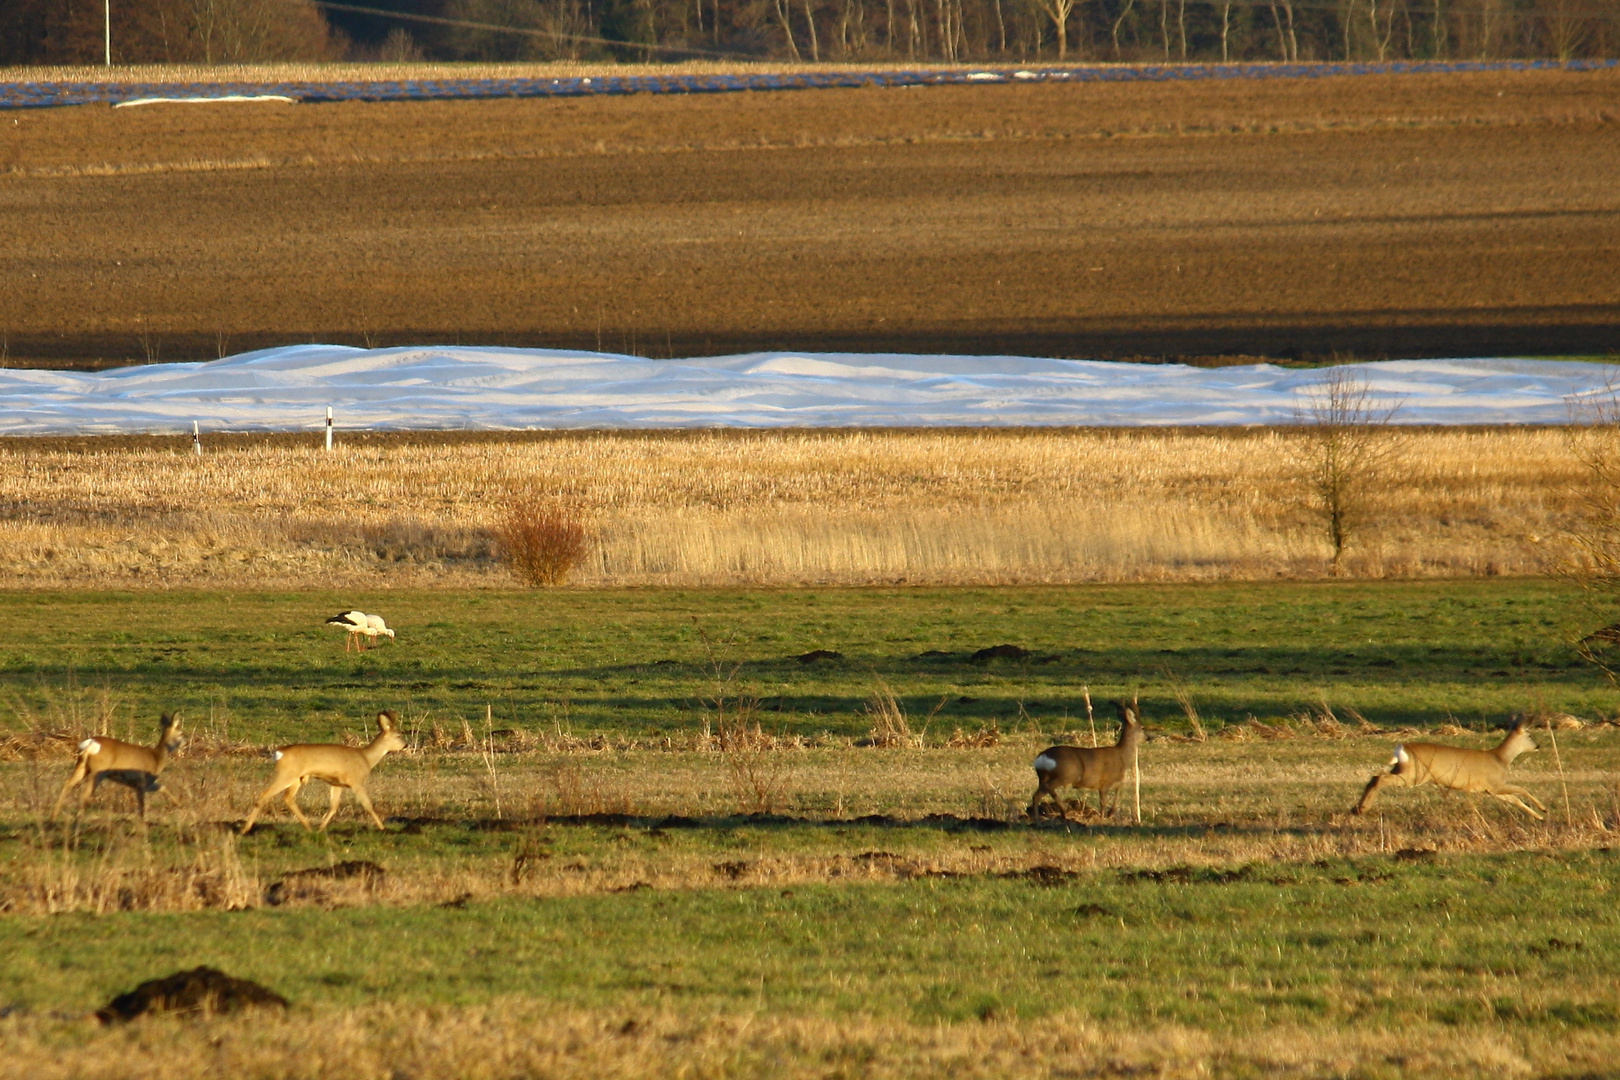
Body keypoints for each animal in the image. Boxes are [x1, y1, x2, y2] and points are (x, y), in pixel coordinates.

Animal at [52, 712, 183, 822]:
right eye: (181, 733)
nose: (185, 742)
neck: (156, 757)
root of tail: (90, 745)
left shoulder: (144, 783)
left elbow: (162, 787)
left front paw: (178, 804)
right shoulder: (141, 782)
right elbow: (142, 805)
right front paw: (142, 823)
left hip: (82, 766)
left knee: (68, 784)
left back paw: (54, 816)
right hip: (98, 771)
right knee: (84, 793)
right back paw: (77, 821)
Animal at [239, 709, 408, 835]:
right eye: (399, 735)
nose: (406, 745)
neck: (366, 758)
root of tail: (279, 752)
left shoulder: (336, 783)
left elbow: (333, 806)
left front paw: (321, 828)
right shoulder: (356, 781)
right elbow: (368, 805)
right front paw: (382, 828)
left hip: (296, 778)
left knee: (288, 798)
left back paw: (308, 827)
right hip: (286, 774)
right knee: (264, 795)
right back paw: (245, 830)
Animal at [1347, 718, 1548, 819]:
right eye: (1530, 735)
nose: (1538, 745)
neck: (1500, 758)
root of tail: (1402, 748)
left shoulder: (1490, 789)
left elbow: (1515, 799)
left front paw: (1539, 817)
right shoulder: (1495, 783)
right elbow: (1522, 789)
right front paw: (1543, 810)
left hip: (1402, 770)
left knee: (1374, 777)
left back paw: (1358, 809)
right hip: (1414, 776)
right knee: (1380, 778)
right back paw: (1362, 809)